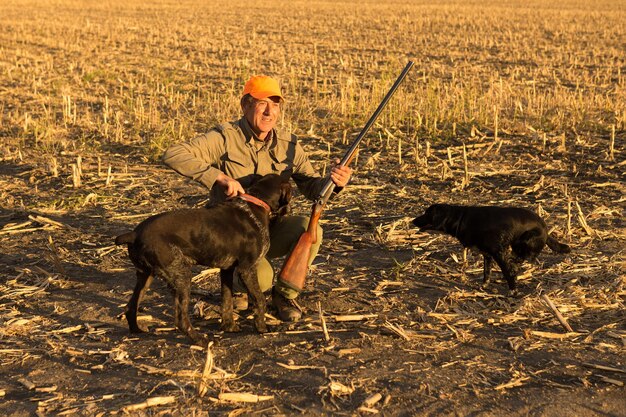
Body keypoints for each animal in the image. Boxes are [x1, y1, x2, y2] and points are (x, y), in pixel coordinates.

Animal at [114, 172, 290, 344]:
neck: (255, 203)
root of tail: (134, 234)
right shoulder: (247, 269)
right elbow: (260, 299)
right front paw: (262, 328)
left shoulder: (227, 270)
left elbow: (227, 301)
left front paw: (229, 326)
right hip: (181, 275)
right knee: (180, 320)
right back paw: (201, 340)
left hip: (145, 275)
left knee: (130, 307)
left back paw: (137, 330)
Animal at [412, 204, 568, 292]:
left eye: (427, 213)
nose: (412, 220)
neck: (461, 219)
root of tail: (546, 229)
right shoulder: (487, 255)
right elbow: (486, 273)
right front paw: (484, 286)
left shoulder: (498, 252)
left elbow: (506, 271)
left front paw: (513, 291)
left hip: (524, 241)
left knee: (525, 258)